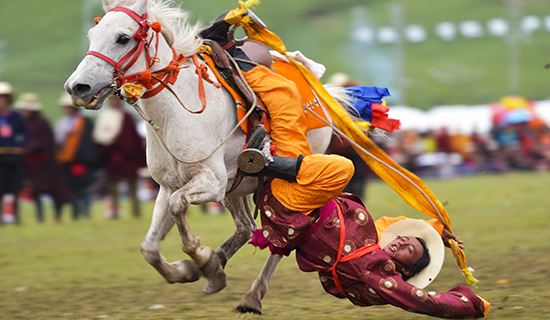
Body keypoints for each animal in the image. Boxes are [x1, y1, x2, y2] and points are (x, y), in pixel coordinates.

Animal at [66, 0, 344, 304]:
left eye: (123, 38)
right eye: (92, 35)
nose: (77, 87)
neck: (175, 113)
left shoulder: (211, 182)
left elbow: (178, 206)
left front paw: (201, 259)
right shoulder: (169, 186)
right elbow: (149, 248)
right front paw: (191, 270)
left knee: (288, 234)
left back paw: (253, 293)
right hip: (236, 187)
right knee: (246, 227)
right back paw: (219, 267)